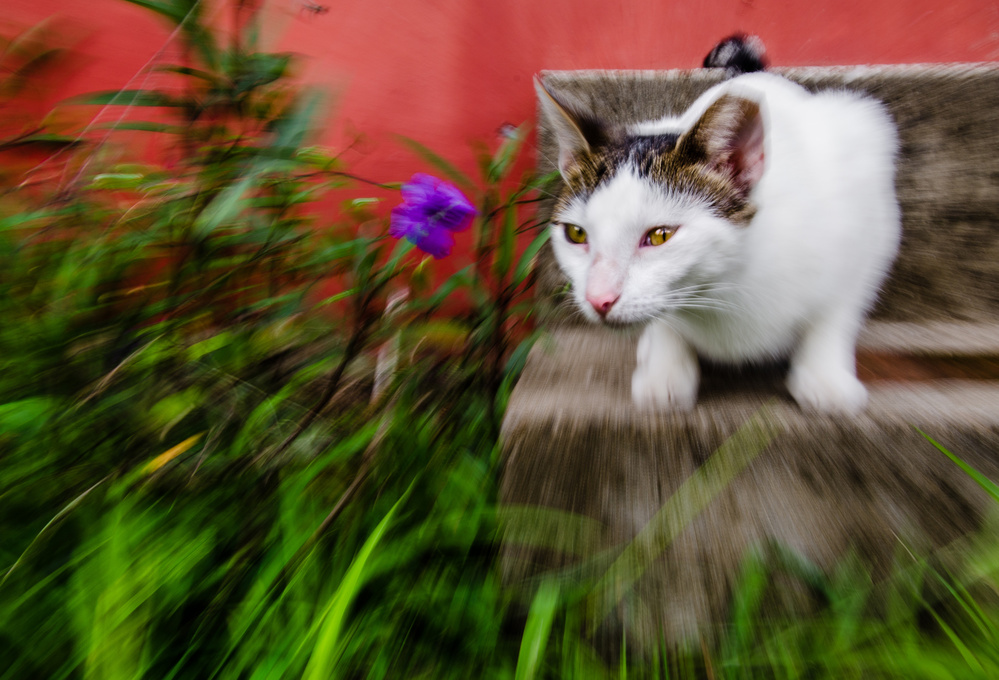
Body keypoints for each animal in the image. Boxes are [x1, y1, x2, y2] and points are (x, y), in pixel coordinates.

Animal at [536, 36, 901, 414]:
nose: (598, 300)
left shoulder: (865, 225)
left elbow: (839, 306)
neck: (723, 284)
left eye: (660, 236)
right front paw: (665, 369)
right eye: (576, 233)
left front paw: (824, 376)